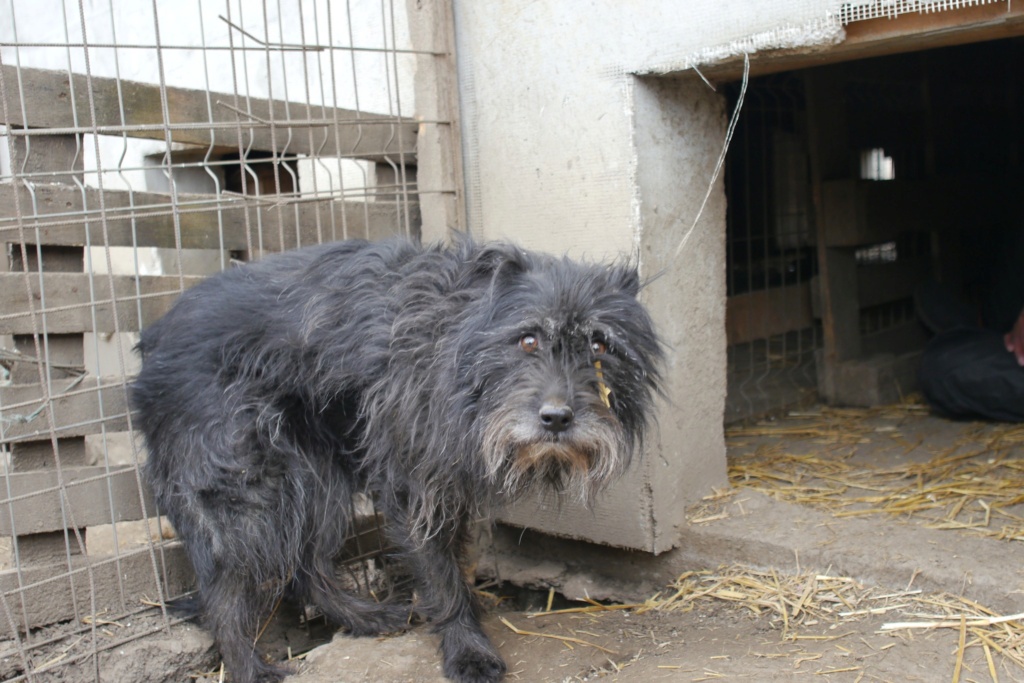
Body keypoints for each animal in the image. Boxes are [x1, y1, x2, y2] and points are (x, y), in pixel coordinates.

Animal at [132, 237, 659, 679]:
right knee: (223, 593)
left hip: (316, 481)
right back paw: (249, 668)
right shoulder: (414, 487)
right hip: (245, 488)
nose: (556, 418)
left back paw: (364, 617)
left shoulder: (448, 490)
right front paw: (468, 651)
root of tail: (155, 335)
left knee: (305, 566)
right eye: (527, 339)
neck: (457, 341)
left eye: (600, 345)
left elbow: (454, 561)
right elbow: (441, 576)